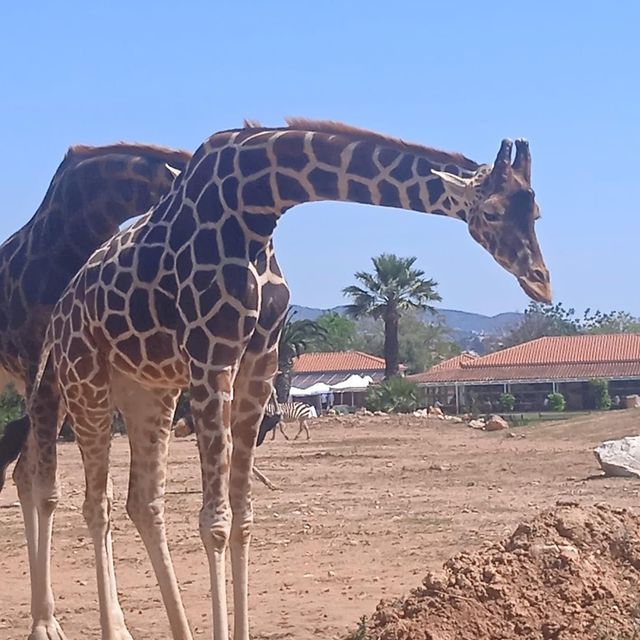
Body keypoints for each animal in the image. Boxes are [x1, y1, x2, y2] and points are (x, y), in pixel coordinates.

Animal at [0, 141, 191, 640]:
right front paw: (44, 624)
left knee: (20, 472)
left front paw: (111, 624)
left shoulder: (59, 375)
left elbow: (67, 492)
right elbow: (48, 492)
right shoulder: (39, 364)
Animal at [28, 120, 552, 640]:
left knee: (144, 503)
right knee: (95, 505)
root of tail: (57, 319)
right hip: (86, 383)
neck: (258, 203)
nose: (540, 281)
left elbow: (242, 516)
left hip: (149, 391)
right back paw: (108, 627)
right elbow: (214, 522)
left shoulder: (261, 357)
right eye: (491, 211)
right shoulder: (211, 356)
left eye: (537, 212)